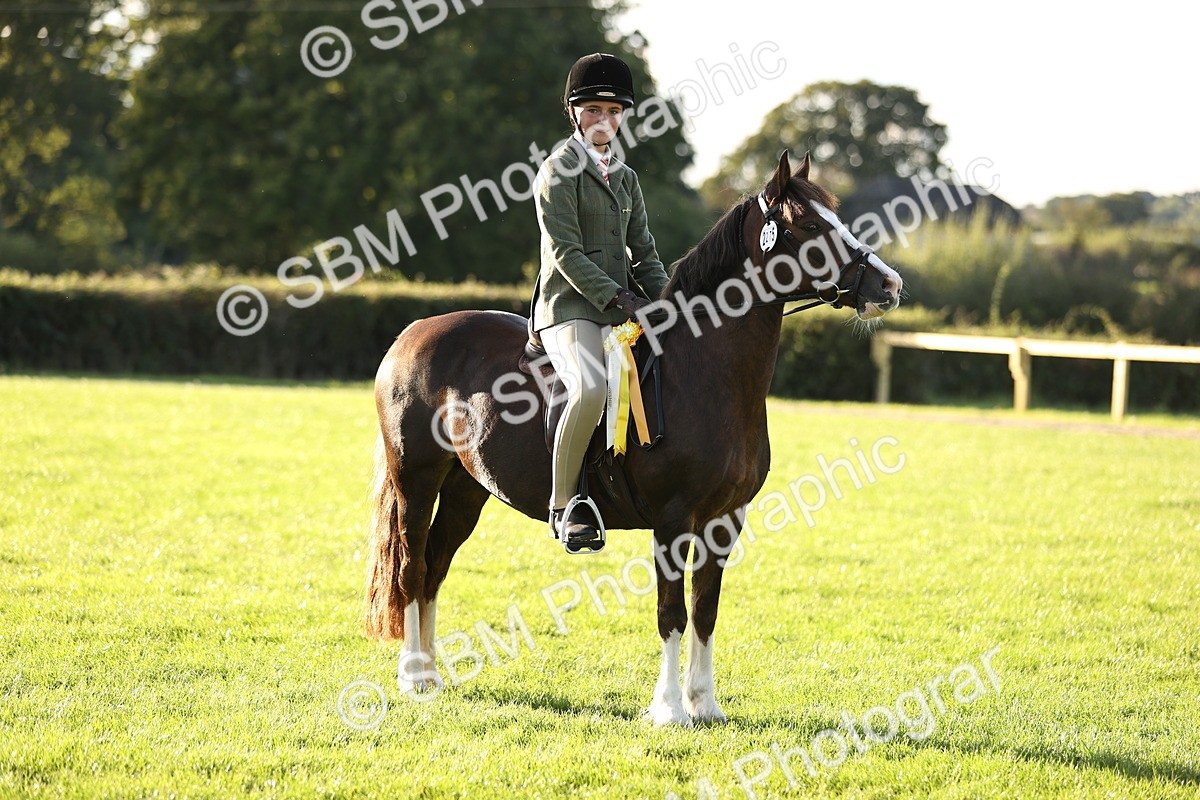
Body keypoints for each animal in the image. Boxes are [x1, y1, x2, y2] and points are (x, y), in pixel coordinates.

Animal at [365, 150, 903, 725]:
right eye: (809, 226)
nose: (888, 286)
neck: (703, 371)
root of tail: (412, 333)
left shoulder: (724, 521)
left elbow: (705, 610)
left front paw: (704, 704)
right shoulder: (673, 520)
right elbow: (671, 611)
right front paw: (668, 709)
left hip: (467, 489)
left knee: (434, 568)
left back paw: (430, 676)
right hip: (417, 482)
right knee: (412, 567)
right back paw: (412, 677)